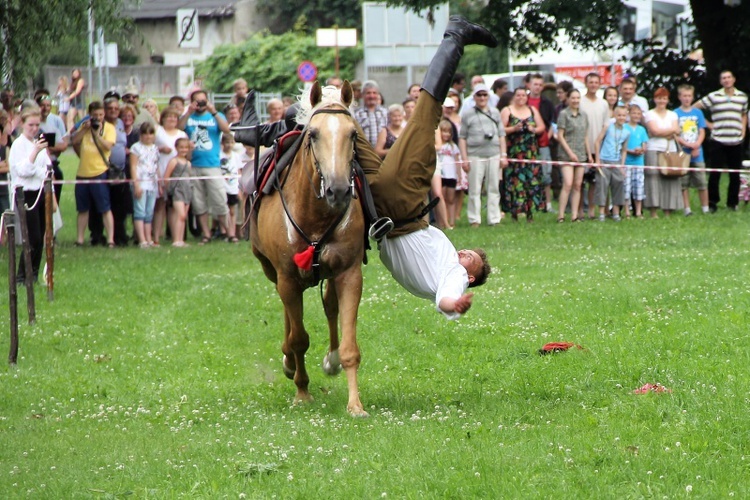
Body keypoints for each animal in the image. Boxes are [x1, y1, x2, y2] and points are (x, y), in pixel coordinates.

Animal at [253, 82, 370, 416]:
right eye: (314, 134)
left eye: (353, 134)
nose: (338, 189)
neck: (315, 214)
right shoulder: (287, 278)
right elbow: (299, 338)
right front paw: (301, 391)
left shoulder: (349, 273)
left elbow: (349, 344)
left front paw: (355, 404)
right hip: (273, 272)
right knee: (289, 317)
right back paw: (289, 363)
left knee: (330, 304)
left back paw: (330, 360)